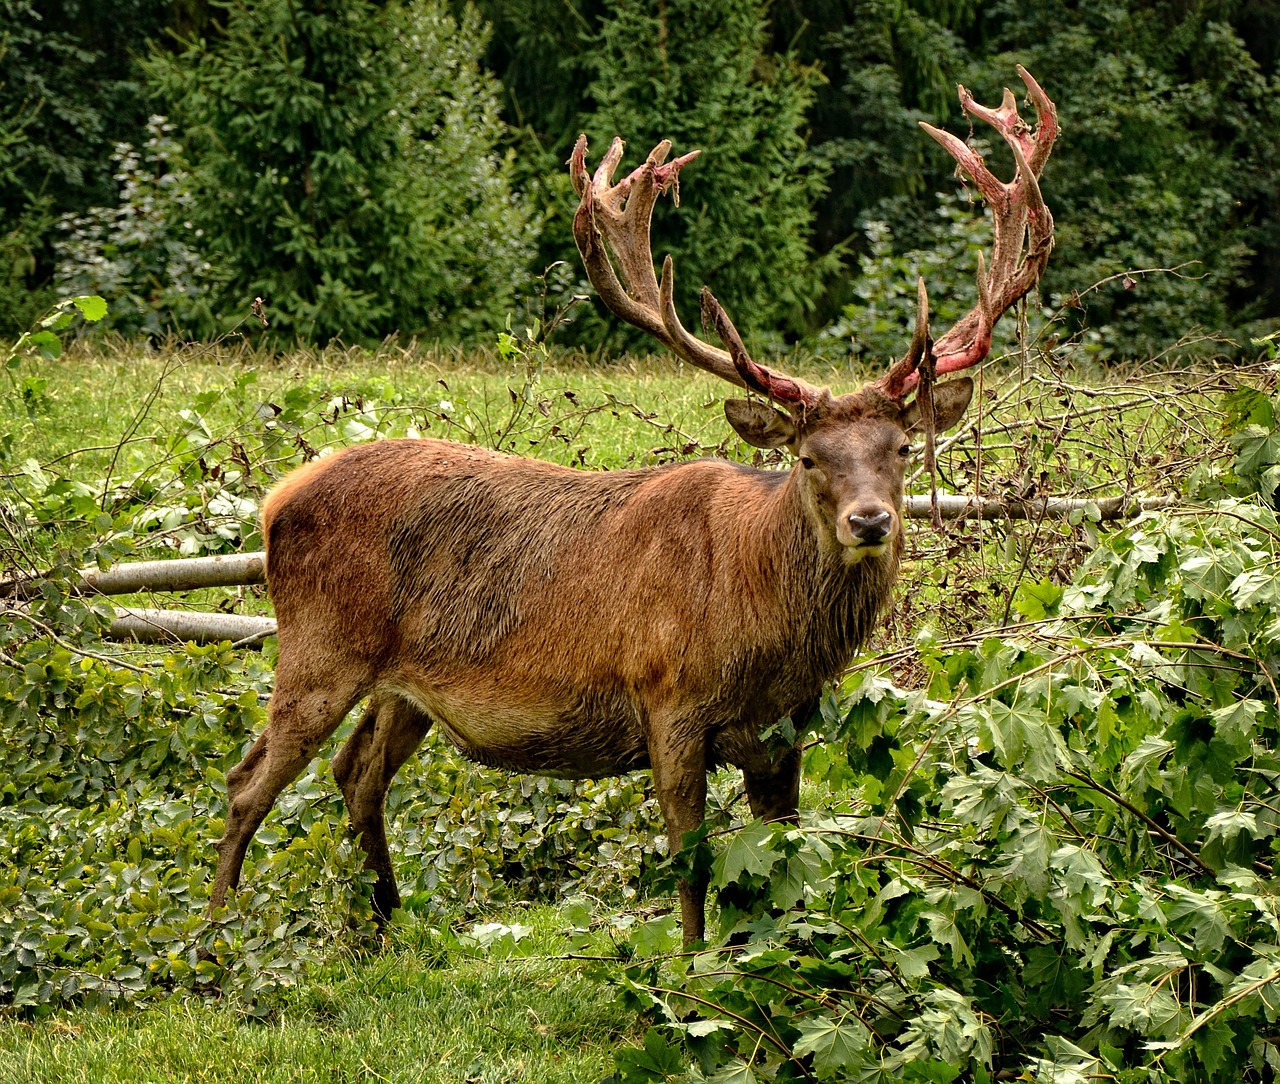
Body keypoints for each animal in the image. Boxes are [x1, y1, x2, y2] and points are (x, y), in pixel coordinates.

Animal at [207, 70, 1049, 952]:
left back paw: (382, 919)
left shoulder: (784, 730)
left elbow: (779, 856)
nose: (871, 522)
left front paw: (779, 952)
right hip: (320, 644)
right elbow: (691, 857)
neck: (761, 625)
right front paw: (691, 963)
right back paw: (216, 932)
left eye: (902, 448)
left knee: (356, 771)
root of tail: (275, 500)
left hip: (402, 685)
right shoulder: (667, 698)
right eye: (808, 458)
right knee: (246, 780)